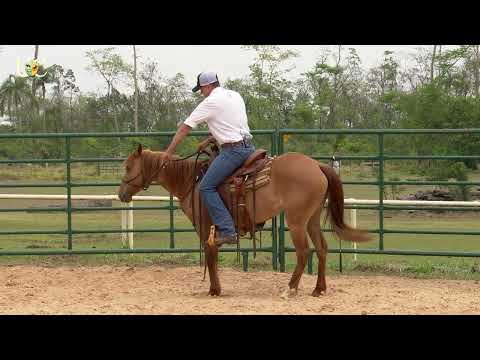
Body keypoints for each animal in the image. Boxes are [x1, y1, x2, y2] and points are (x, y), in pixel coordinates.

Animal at [117, 143, 372, 298]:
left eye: (128, 167)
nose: (121, 194)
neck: (192, 181)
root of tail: (317, 165)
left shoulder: (206, 228)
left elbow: (210, 256)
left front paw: (214, 290)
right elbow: (212, 256)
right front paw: (215, 288)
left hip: (297, 221)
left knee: (303, 252)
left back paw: (289, 289)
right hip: (312, 219)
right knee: (321, 248)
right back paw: (319, 289)